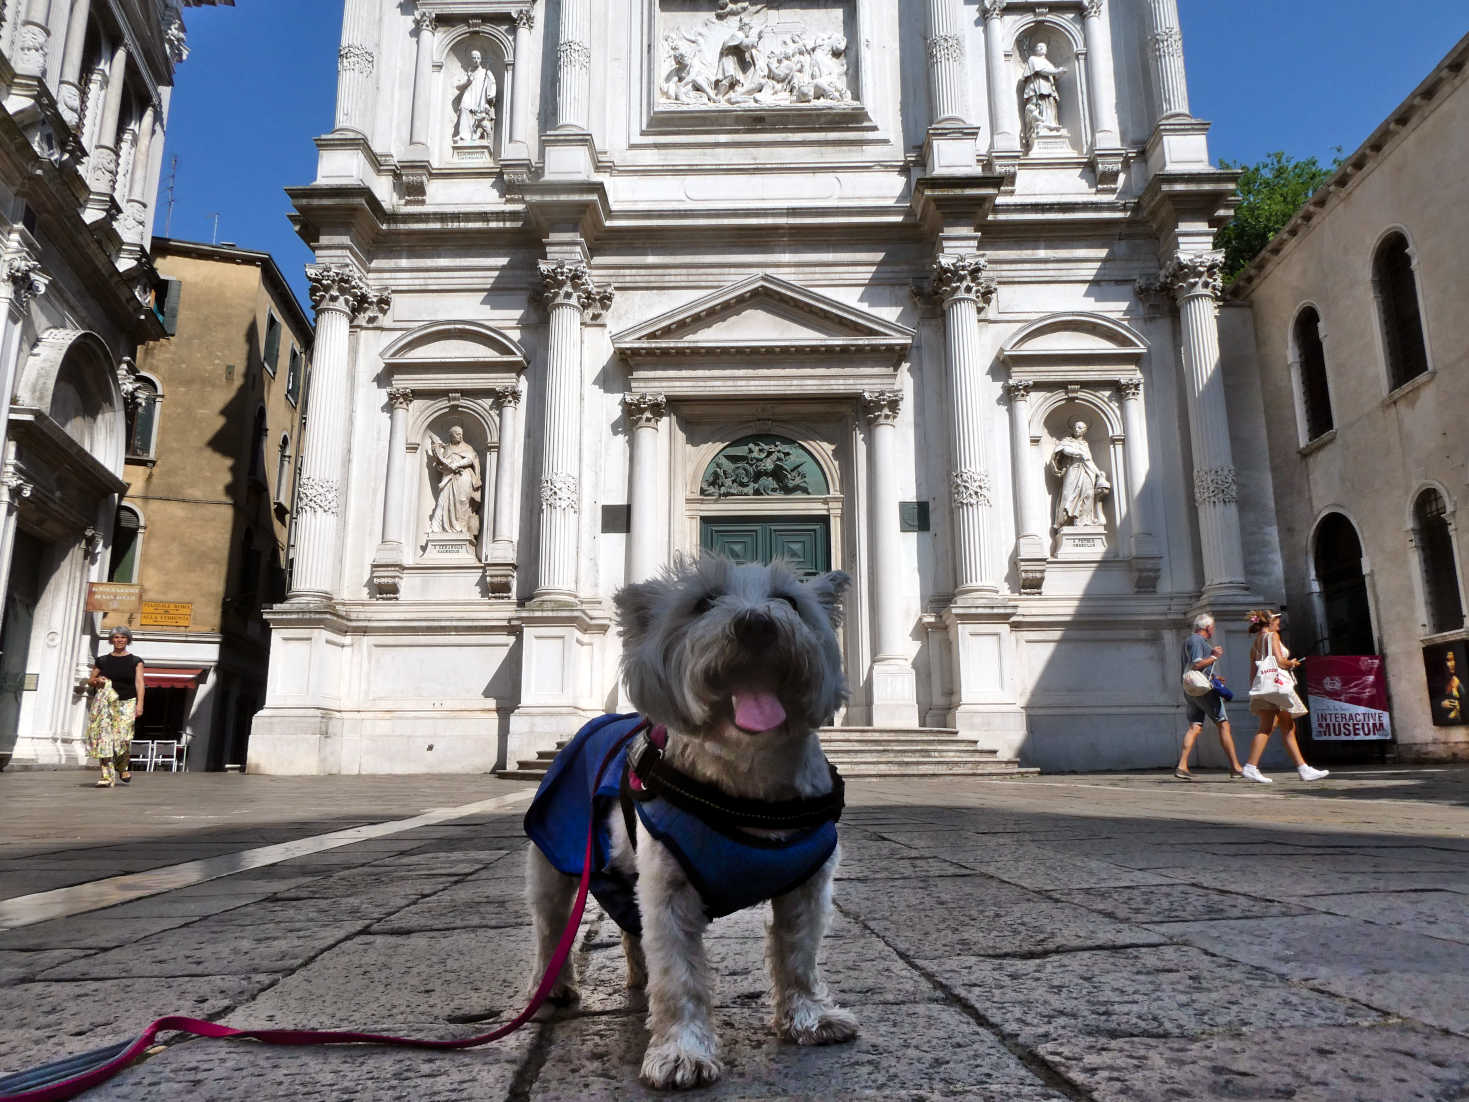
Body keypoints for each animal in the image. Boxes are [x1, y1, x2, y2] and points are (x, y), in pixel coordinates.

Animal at [525, 555, 857, 1093]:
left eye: (789, 600)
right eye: (703, 603)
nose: (757, 625)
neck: (749, 781)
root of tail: (595, 722)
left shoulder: (807, 885)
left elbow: (798, 954)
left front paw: (809, 1018)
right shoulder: (670, 889)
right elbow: (679, 973)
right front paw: (681, 1053)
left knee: (630, 926)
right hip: (555, 859)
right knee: (551, 927)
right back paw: (552, 987)